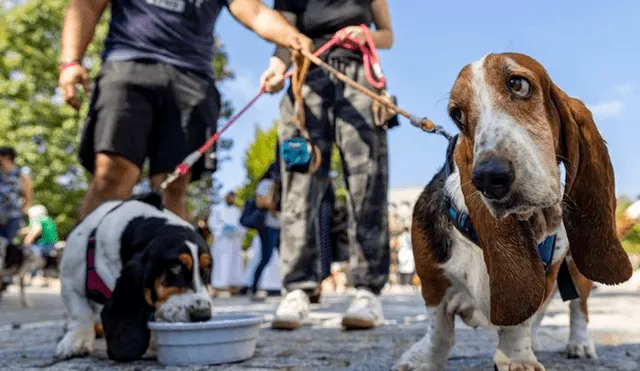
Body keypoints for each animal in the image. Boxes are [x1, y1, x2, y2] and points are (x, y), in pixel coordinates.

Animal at [56, 195, 214, 364]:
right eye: (175, 266)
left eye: (206, 268)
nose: (203, 315)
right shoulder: (70, 281)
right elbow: (79, 313)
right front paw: (75, 342)